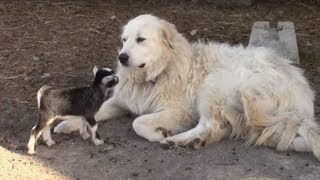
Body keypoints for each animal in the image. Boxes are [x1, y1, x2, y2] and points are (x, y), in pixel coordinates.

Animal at [55, 14, 320, 160]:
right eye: (124, 40)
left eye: (141, 39)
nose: (122, 57)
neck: (157, 73)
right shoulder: (122, 101)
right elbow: (93, 112)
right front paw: (68, 124)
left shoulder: (178, 111)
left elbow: (138, 122)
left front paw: (157, 133)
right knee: (219, 128)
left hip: (214, 87)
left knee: (209, 124)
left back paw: (177, 140)